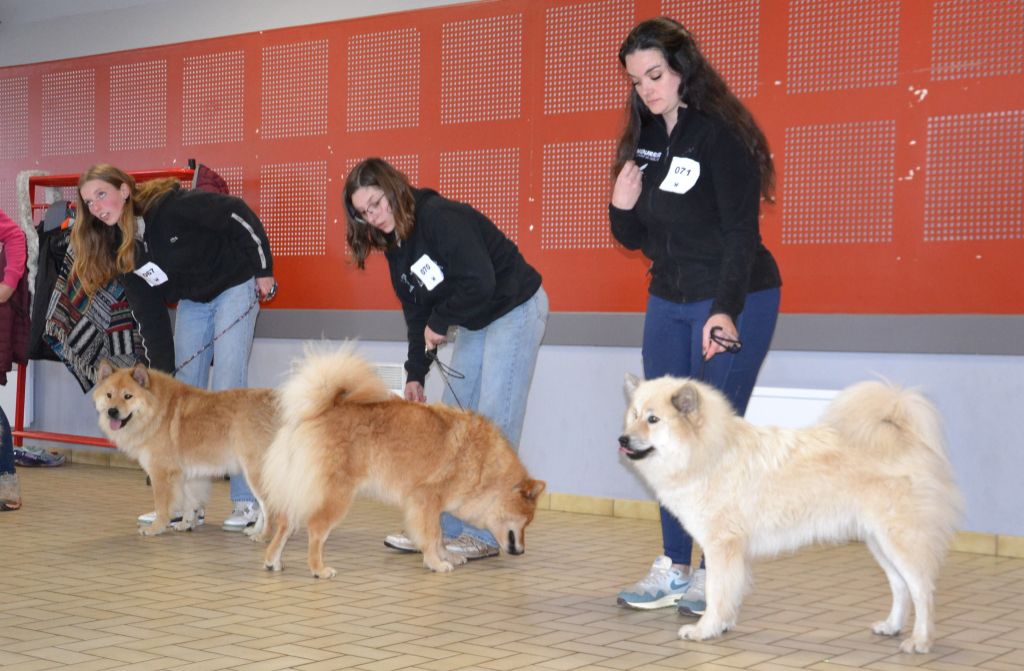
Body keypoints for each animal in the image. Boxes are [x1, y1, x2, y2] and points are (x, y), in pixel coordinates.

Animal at [94, 362, 278, 540]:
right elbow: (189, 502)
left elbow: (161, 506)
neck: (157, 411)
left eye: (128, 396)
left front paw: (156, 528)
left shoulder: (161, 473)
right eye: (109, 395)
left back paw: (264, 536)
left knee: (269, 508)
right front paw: (186, 523)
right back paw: (255, 531)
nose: (112, 411)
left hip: (254, 473)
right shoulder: (187, 474)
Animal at [260, 346, 548, 577]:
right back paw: (319, 568)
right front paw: (436, 562)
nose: (522, 551)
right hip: (336, 494)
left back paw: (273, 561)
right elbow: (432, 535)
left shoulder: (431, 506)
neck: (484, 465)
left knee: (285, 523)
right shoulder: (426, 499)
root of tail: (317, 411)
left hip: (298, 488)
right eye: (525, 521)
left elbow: (439, 535)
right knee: (316, 529)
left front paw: (447, 555)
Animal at [618, 374, 962, 655]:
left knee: (922, 591)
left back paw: (920, 641)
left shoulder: (722, 546)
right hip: (878, 542)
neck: (709, 452)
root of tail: (904, 435)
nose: (622, 439)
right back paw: (891, 627)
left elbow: (717, 592)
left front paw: (705, 629)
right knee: (901, 587)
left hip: (899, 540)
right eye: (633, 416)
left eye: (653, 419)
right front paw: (723, 624)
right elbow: (729, 592)